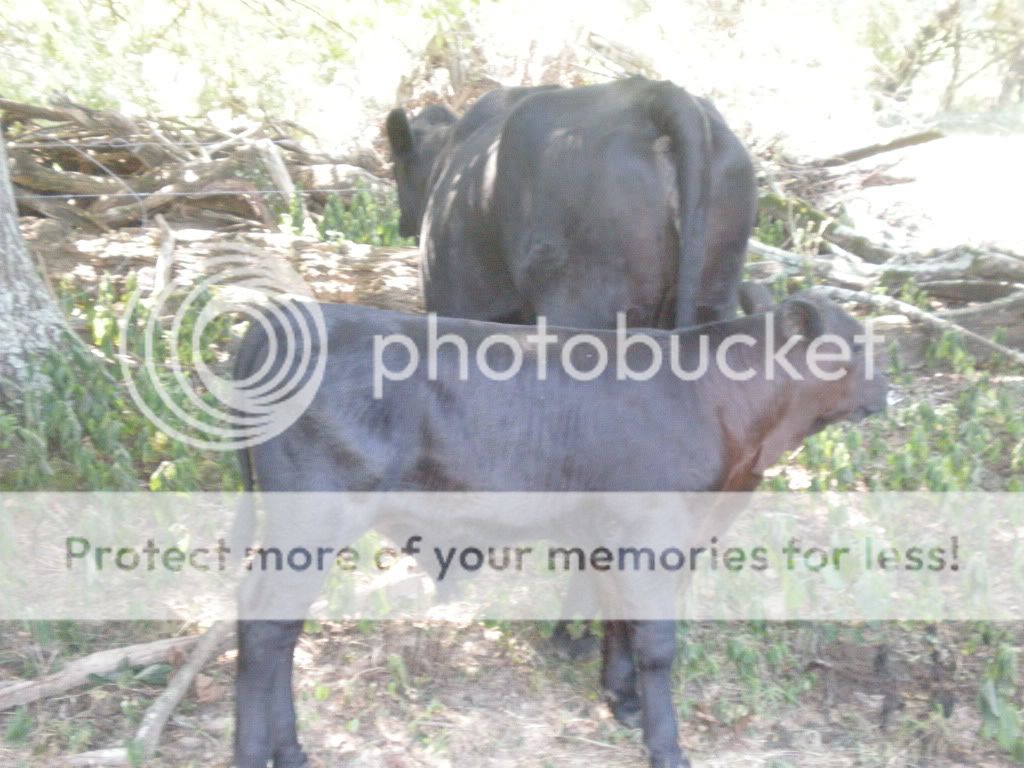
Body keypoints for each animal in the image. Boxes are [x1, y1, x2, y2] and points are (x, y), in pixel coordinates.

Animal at [232, 293, 887, 767]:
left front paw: (622, 702)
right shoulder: (654, 531)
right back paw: (259, 753)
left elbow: (617, 619)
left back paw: (290, 752)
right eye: (849, 346)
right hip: (314, 518)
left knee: (276, 628)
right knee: (266, 630)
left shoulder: (613, 534)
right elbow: (656, 643)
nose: (889, 387)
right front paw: (666, 745)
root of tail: (289, 318)